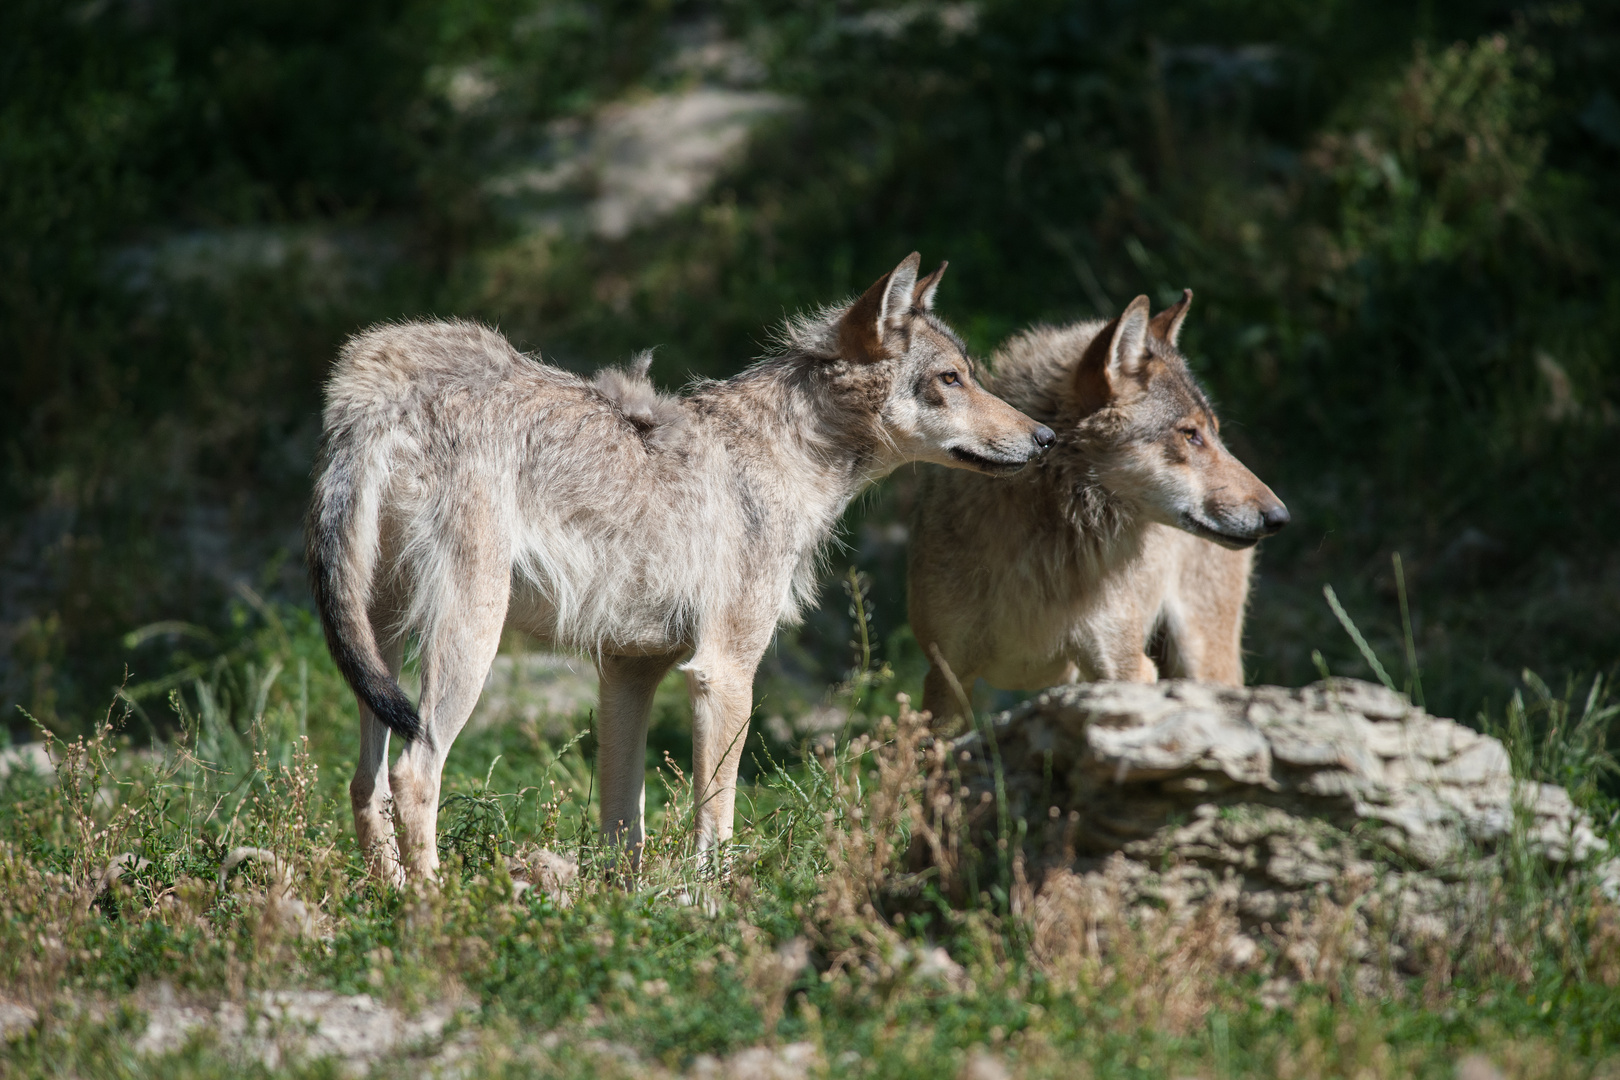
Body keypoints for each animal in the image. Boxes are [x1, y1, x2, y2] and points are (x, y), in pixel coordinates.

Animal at [307, 255, 1056, 887]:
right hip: (467, 643)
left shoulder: (627, 672)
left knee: (364, 783)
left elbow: (623, 829)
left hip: (381, 649)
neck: (788, 455)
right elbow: (715, 822)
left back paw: (388, 897)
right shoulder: (723, 672)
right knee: (413, 774)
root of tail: (374, 395)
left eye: (971, 373)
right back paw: (437, 907)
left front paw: (623, 912)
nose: (1047, 438)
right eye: (951, 379)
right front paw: (714, 910)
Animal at [907, 291, 1283, 722]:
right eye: (1190, 435)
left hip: (1203, 662)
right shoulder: (947, 676)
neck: (1046, 550)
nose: (1279, 517)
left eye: (1212, 433)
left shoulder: (1126, 668)